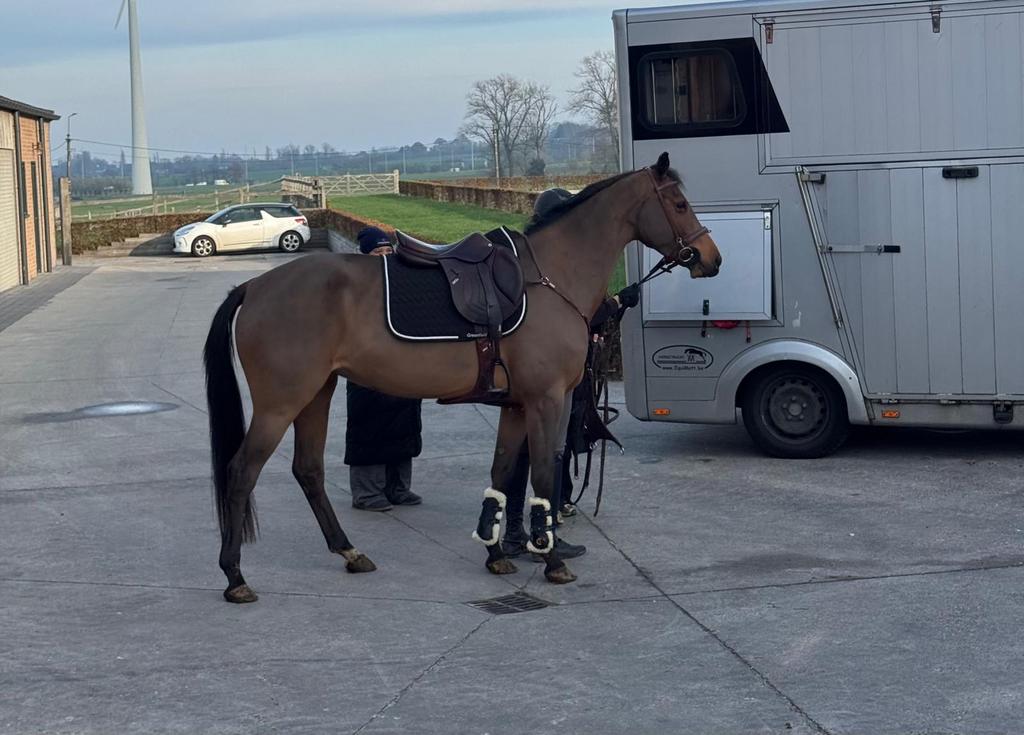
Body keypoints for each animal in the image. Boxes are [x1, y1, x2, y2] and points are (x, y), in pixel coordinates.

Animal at [203, 152, 721, 603]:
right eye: (679, 204)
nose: (710, 257)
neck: (549, 279)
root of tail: (253, 286)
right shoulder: (547, 401)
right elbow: (544, 473)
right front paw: (551, 559)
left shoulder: (515, 405)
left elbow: (502, 473)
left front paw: (496, 554)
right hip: (280, 403)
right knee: (241, 471)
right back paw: (235, 576)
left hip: (316, 394)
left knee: (308, 470)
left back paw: (349, 552)